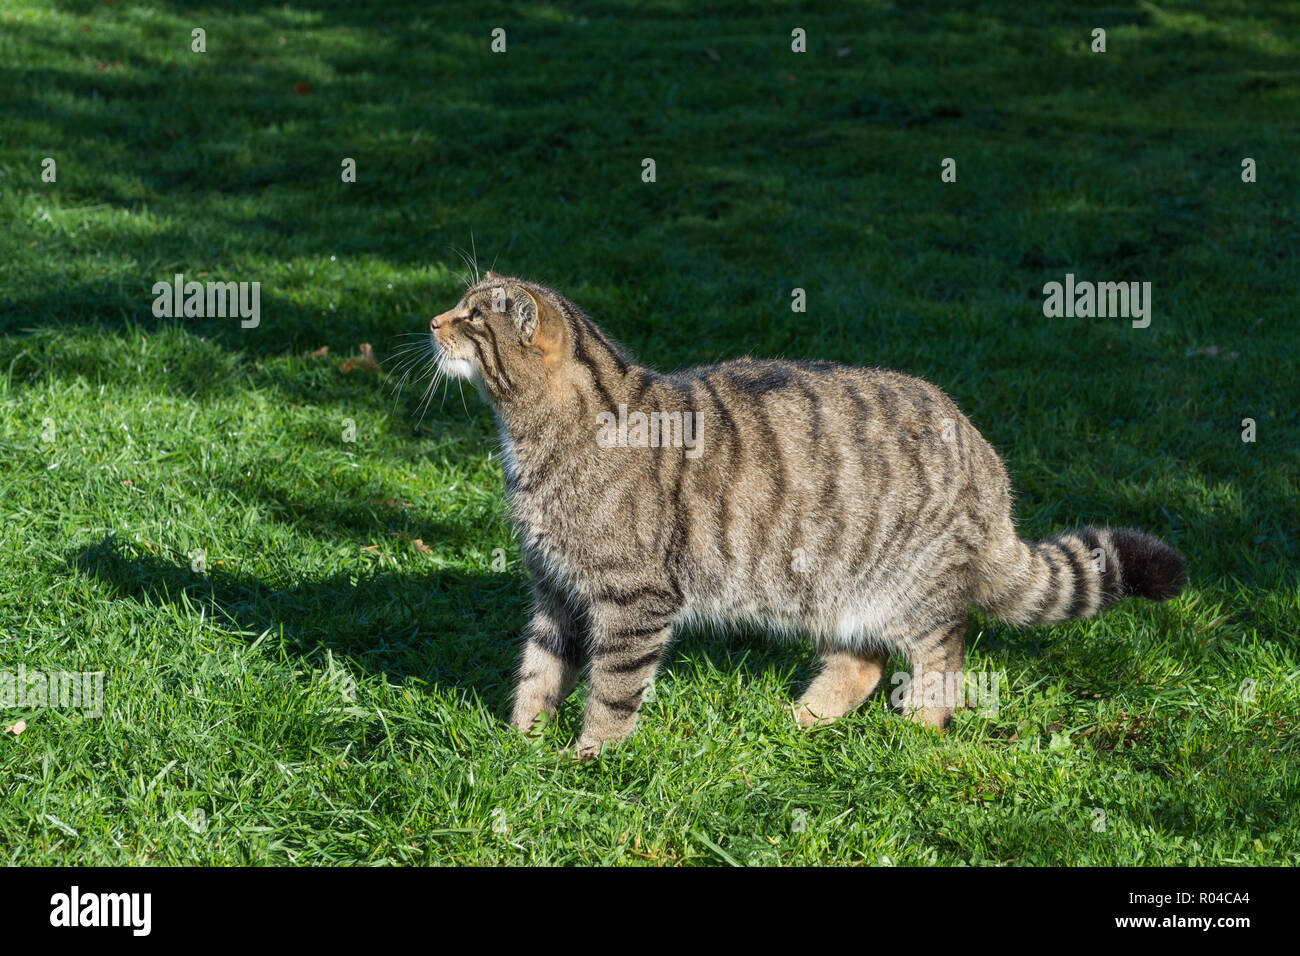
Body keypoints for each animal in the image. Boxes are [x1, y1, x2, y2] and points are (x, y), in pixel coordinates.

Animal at [426, 273, 1190, 759]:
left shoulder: (632, 598)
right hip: (831, 591)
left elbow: (613, 690)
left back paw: (919, 727)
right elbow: (539, 670)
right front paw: (521, 741)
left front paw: (590, 758)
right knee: (862, 662)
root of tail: (985, 455)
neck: (535, 440)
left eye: (473, 316)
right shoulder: (554, 588)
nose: (433, 322)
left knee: (943, 655)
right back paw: (798, 719)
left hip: (914, 590)